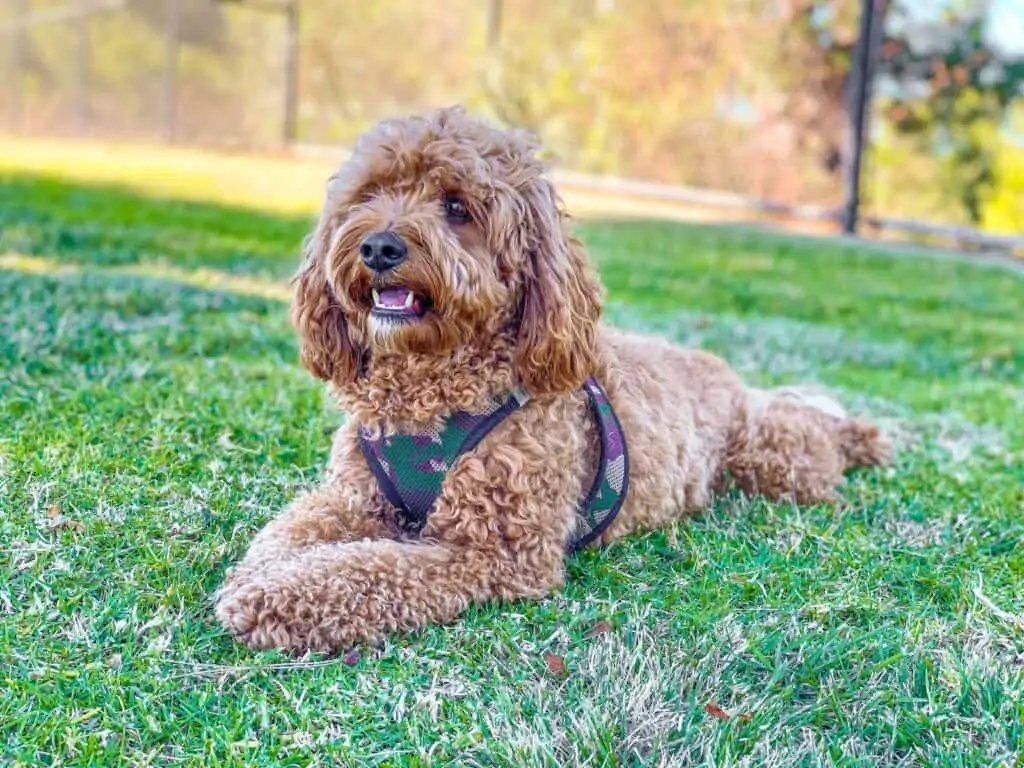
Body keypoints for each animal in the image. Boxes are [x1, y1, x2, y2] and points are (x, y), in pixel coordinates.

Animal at [214, 103, 888, 655]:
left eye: (456, 207)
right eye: (369, 195)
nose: (379, 247)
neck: (427, 394)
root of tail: (722, 373)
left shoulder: (490, 552)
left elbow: (366, 570)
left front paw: (273, 598)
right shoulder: (351, 496)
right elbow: (286, 532)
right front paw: (258, 574)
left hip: (774, 460)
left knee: (815, 442)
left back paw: (860, 437)